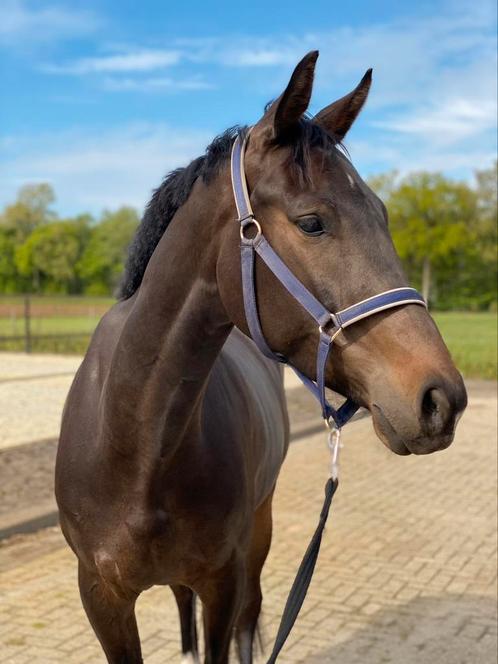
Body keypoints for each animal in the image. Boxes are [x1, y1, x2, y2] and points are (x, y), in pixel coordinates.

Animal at [55, 52, 466, 664]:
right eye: (312, 221)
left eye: (383, 214)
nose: (441, 398)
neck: (134, 444)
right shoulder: (101, 596)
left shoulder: (222, 581)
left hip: (259, 530)